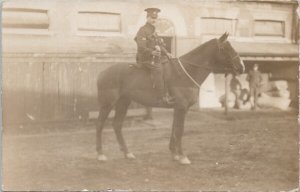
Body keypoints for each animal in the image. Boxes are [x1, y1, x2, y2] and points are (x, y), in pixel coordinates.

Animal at [95, 32, 244, 164]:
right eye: (224, 48)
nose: (241, 67)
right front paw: (183, 156)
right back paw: (100, 154)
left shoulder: (178, 108)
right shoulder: (182, 107)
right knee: (100, 124)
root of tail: (102, 72)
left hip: (123, 102)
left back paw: (127, 153)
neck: (186, 72)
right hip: (108, 104)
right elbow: (180, 130)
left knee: (117, 125)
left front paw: (174, 153)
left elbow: (175, 128)